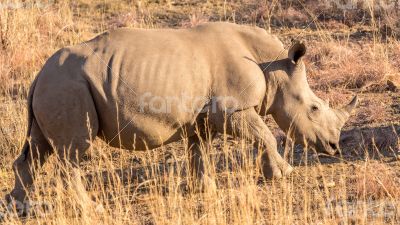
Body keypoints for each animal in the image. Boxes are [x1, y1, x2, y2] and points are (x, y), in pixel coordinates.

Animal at [5, 22, 356, 204]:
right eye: (314, 108)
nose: (334, 148)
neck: (274, 67)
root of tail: (37, 75)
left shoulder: (204, 117)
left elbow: (199, 150)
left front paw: (205, 190)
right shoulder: (232, 108)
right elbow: (265, 135)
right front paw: (283, 175)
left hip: (57, 85)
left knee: (39, 147)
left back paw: (21, 205)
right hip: (67, 85)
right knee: (73, 153)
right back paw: (89, 207)